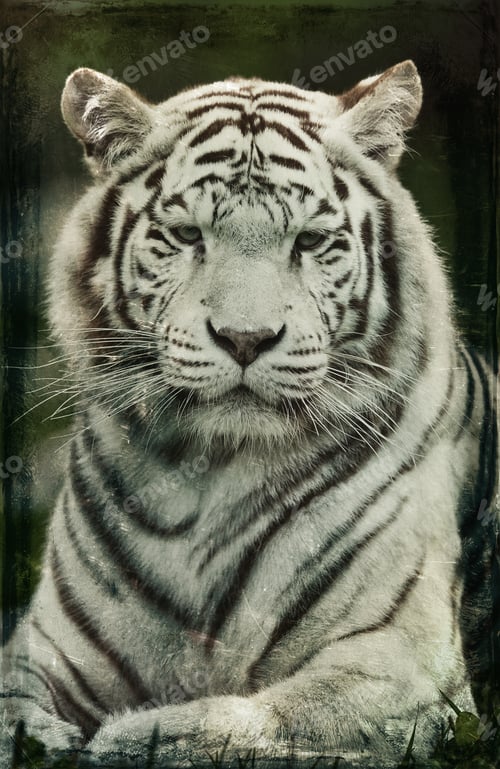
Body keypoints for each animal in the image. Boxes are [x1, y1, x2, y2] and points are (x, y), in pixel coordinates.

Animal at [1, 59, 497, 768]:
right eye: (187, 236)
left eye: (310, 241)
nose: (245, 338)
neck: (206, 477)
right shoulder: (38, 650)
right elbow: (10, 712)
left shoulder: (398, 660)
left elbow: (247, 720)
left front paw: (122, 737)